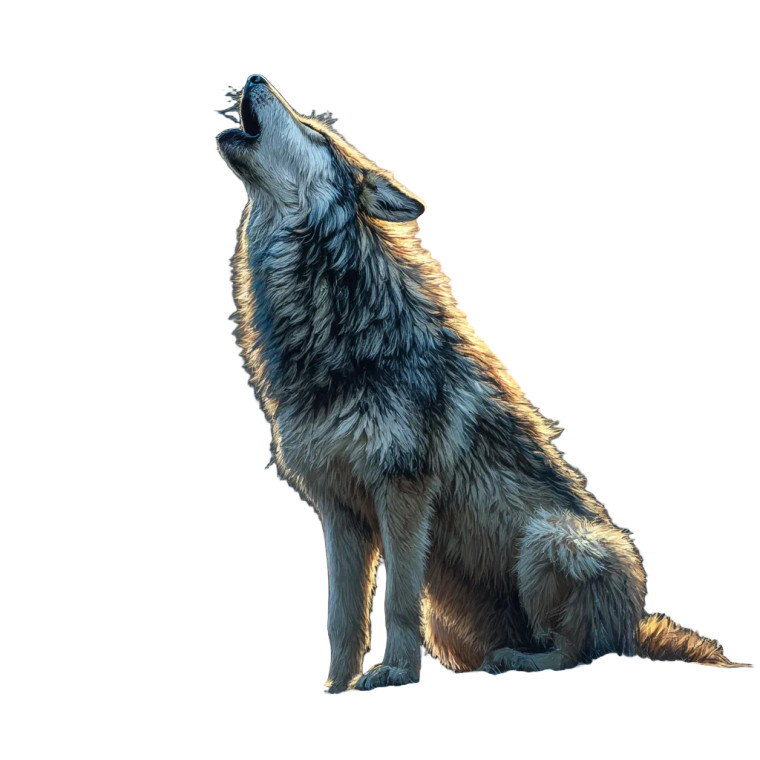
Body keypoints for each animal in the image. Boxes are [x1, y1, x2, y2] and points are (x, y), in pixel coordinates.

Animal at [216, 75, 747, 692]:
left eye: (314, 131)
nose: (255, 77)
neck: (334, 323)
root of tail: (637, 625)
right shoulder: (338, 509)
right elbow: (341, 618)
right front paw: (334, 689)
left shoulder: (403, 491)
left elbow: (396, 602)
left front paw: (395, 675)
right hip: (456, 619)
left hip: (554, 538)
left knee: (581, 653)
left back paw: (516, 662)